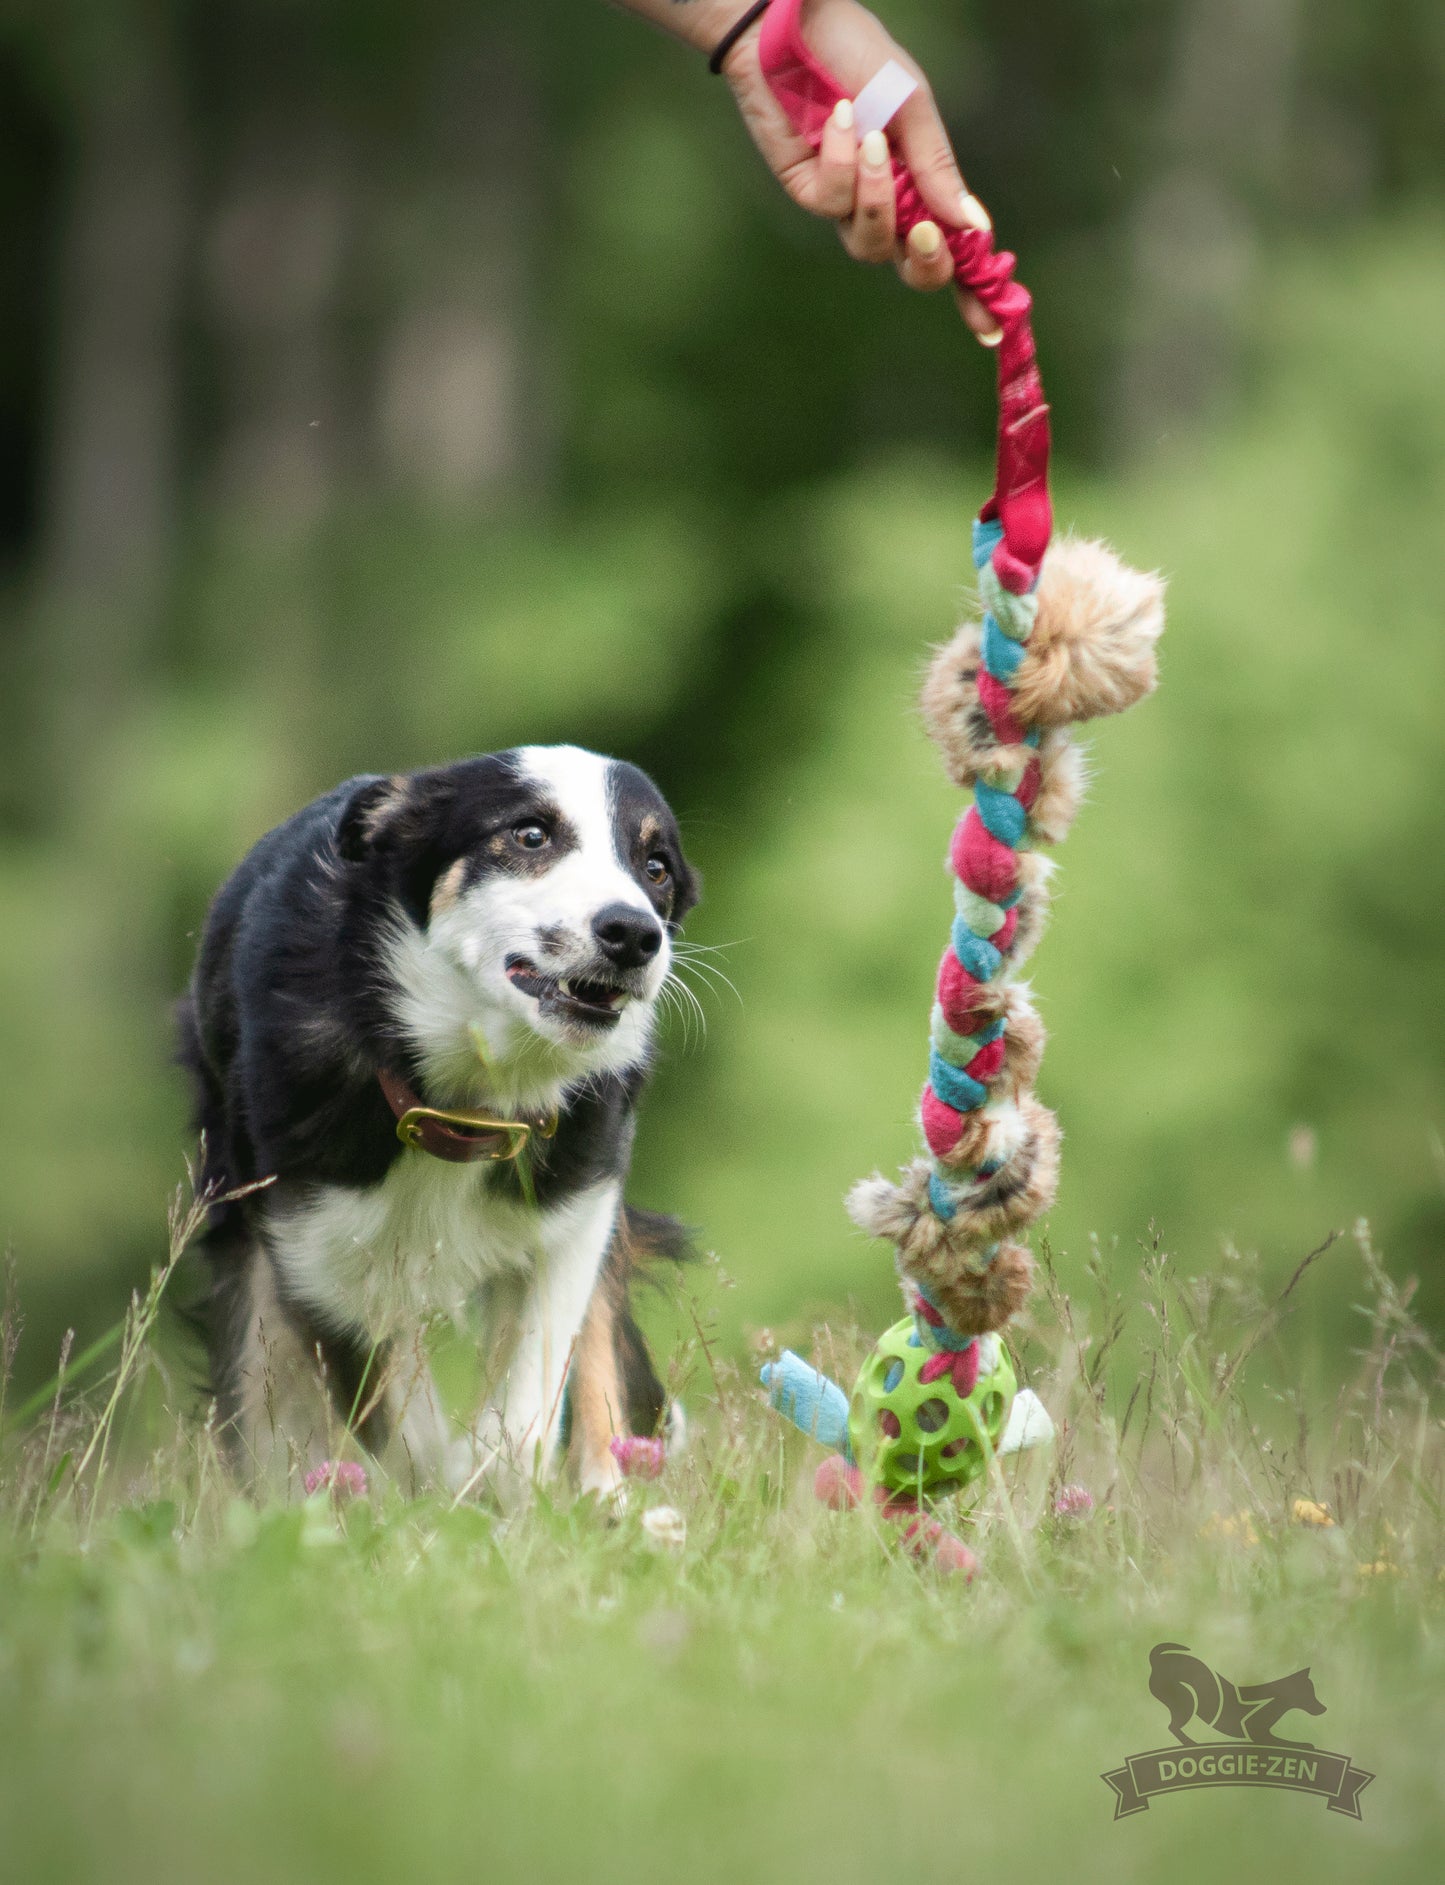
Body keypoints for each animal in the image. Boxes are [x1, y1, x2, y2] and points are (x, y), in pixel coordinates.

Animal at [178, 742, 697, 1508]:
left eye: (655, 868)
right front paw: (443, 1487)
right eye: (529, 835)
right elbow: (399, 1414)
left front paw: (498, 1481)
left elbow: (528, 1401)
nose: (634, 933)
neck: (466, 1101)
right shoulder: (316, 1256)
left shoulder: (578, 1202)